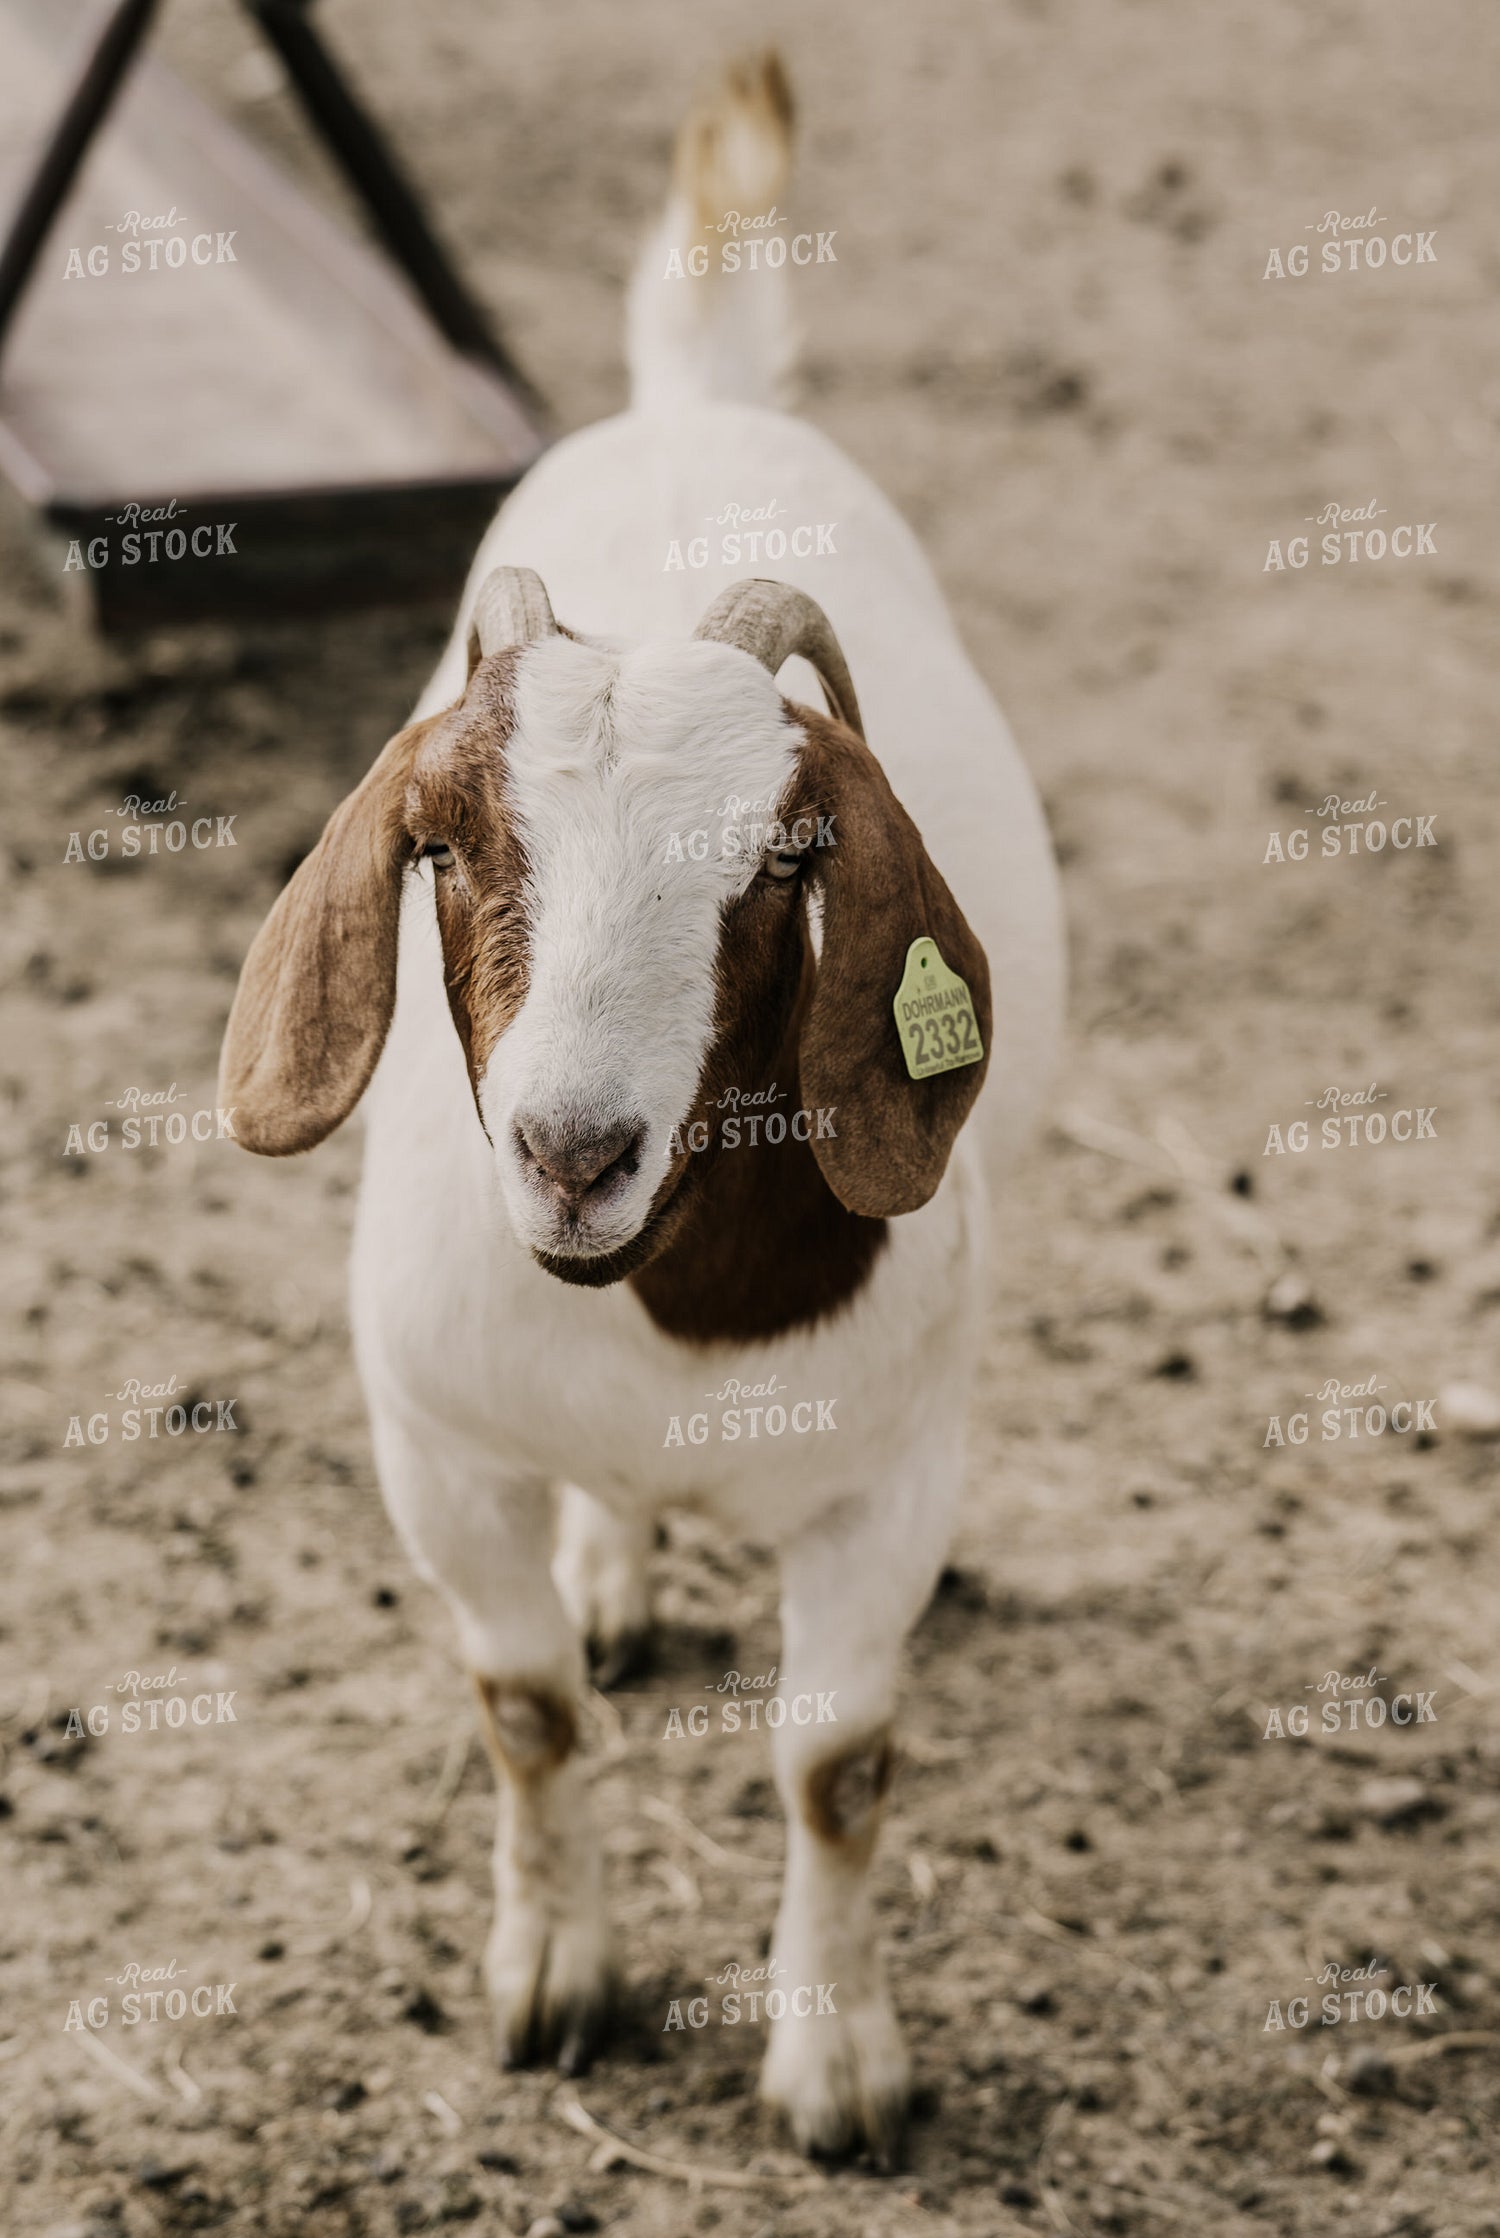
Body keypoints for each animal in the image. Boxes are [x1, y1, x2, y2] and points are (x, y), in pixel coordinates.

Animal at [220, 51, 1064, 2161]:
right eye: (441, 839)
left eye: (782, 857)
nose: (572, 1148)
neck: (672, 1315)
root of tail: (692, 399)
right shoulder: (438, 1448)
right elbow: (524, 1709)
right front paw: (551, 1980)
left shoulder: (880, 1490)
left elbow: (841, 1763)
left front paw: (839, 2066)